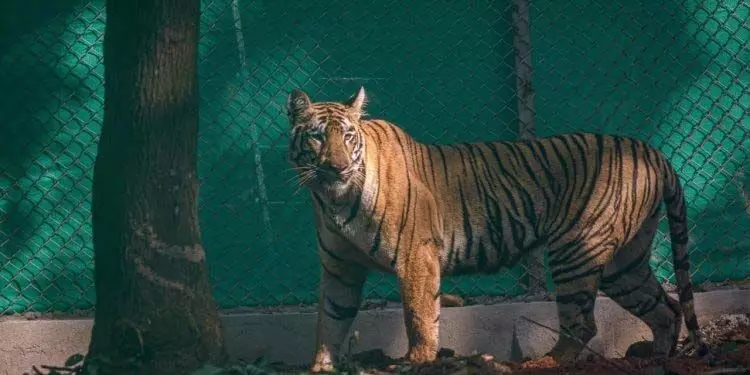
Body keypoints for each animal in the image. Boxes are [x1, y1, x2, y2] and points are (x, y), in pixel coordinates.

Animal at [284, 86, 708, 372]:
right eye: (317, 136)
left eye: (347, 137)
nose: (337, 167)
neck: (334, 198)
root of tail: (652, 150)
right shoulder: (340, 269)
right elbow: (331, 319)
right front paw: (321, 367)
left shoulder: (416, 256)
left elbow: (419, 316)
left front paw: (416, 361)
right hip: (625, 264)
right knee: (665, 308)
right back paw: (656, 359)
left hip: (577, 250)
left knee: (583, 323)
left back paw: (544, 363)